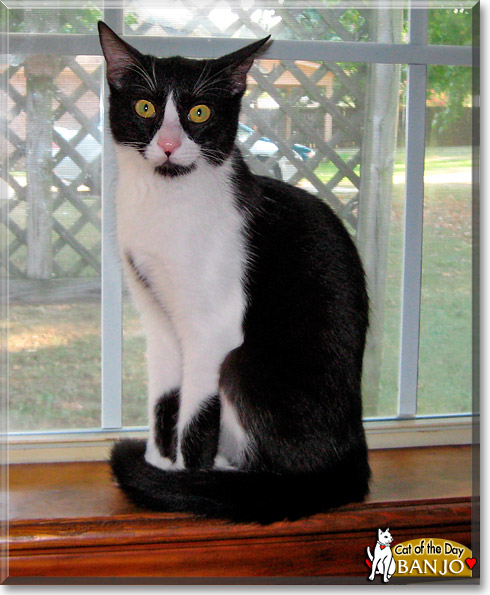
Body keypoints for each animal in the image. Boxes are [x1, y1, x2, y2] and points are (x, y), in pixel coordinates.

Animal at [97, 21, 370, 524]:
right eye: (145, 107)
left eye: (199, 112)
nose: (168, 145)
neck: (167, 201)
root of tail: (353, 458)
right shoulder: (157, 317)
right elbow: (164, 398)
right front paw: (158, 463)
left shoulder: (214, 328)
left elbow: (194, 416)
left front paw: (183, 480)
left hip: (242, 365)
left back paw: (225, 478)